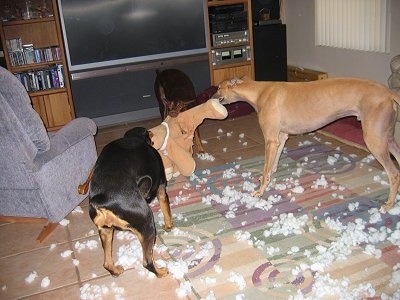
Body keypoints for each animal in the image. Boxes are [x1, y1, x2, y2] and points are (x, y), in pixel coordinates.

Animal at [88, 126, 173, 276]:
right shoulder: (162, 187)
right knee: (147, 262)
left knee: (107, 263)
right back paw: (161, 272)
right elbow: (166, 209)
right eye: (150, 134)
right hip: (147, 224)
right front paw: (168, 226)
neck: (133, 137)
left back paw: (116, 270)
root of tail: (100, 200)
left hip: (106, 231)